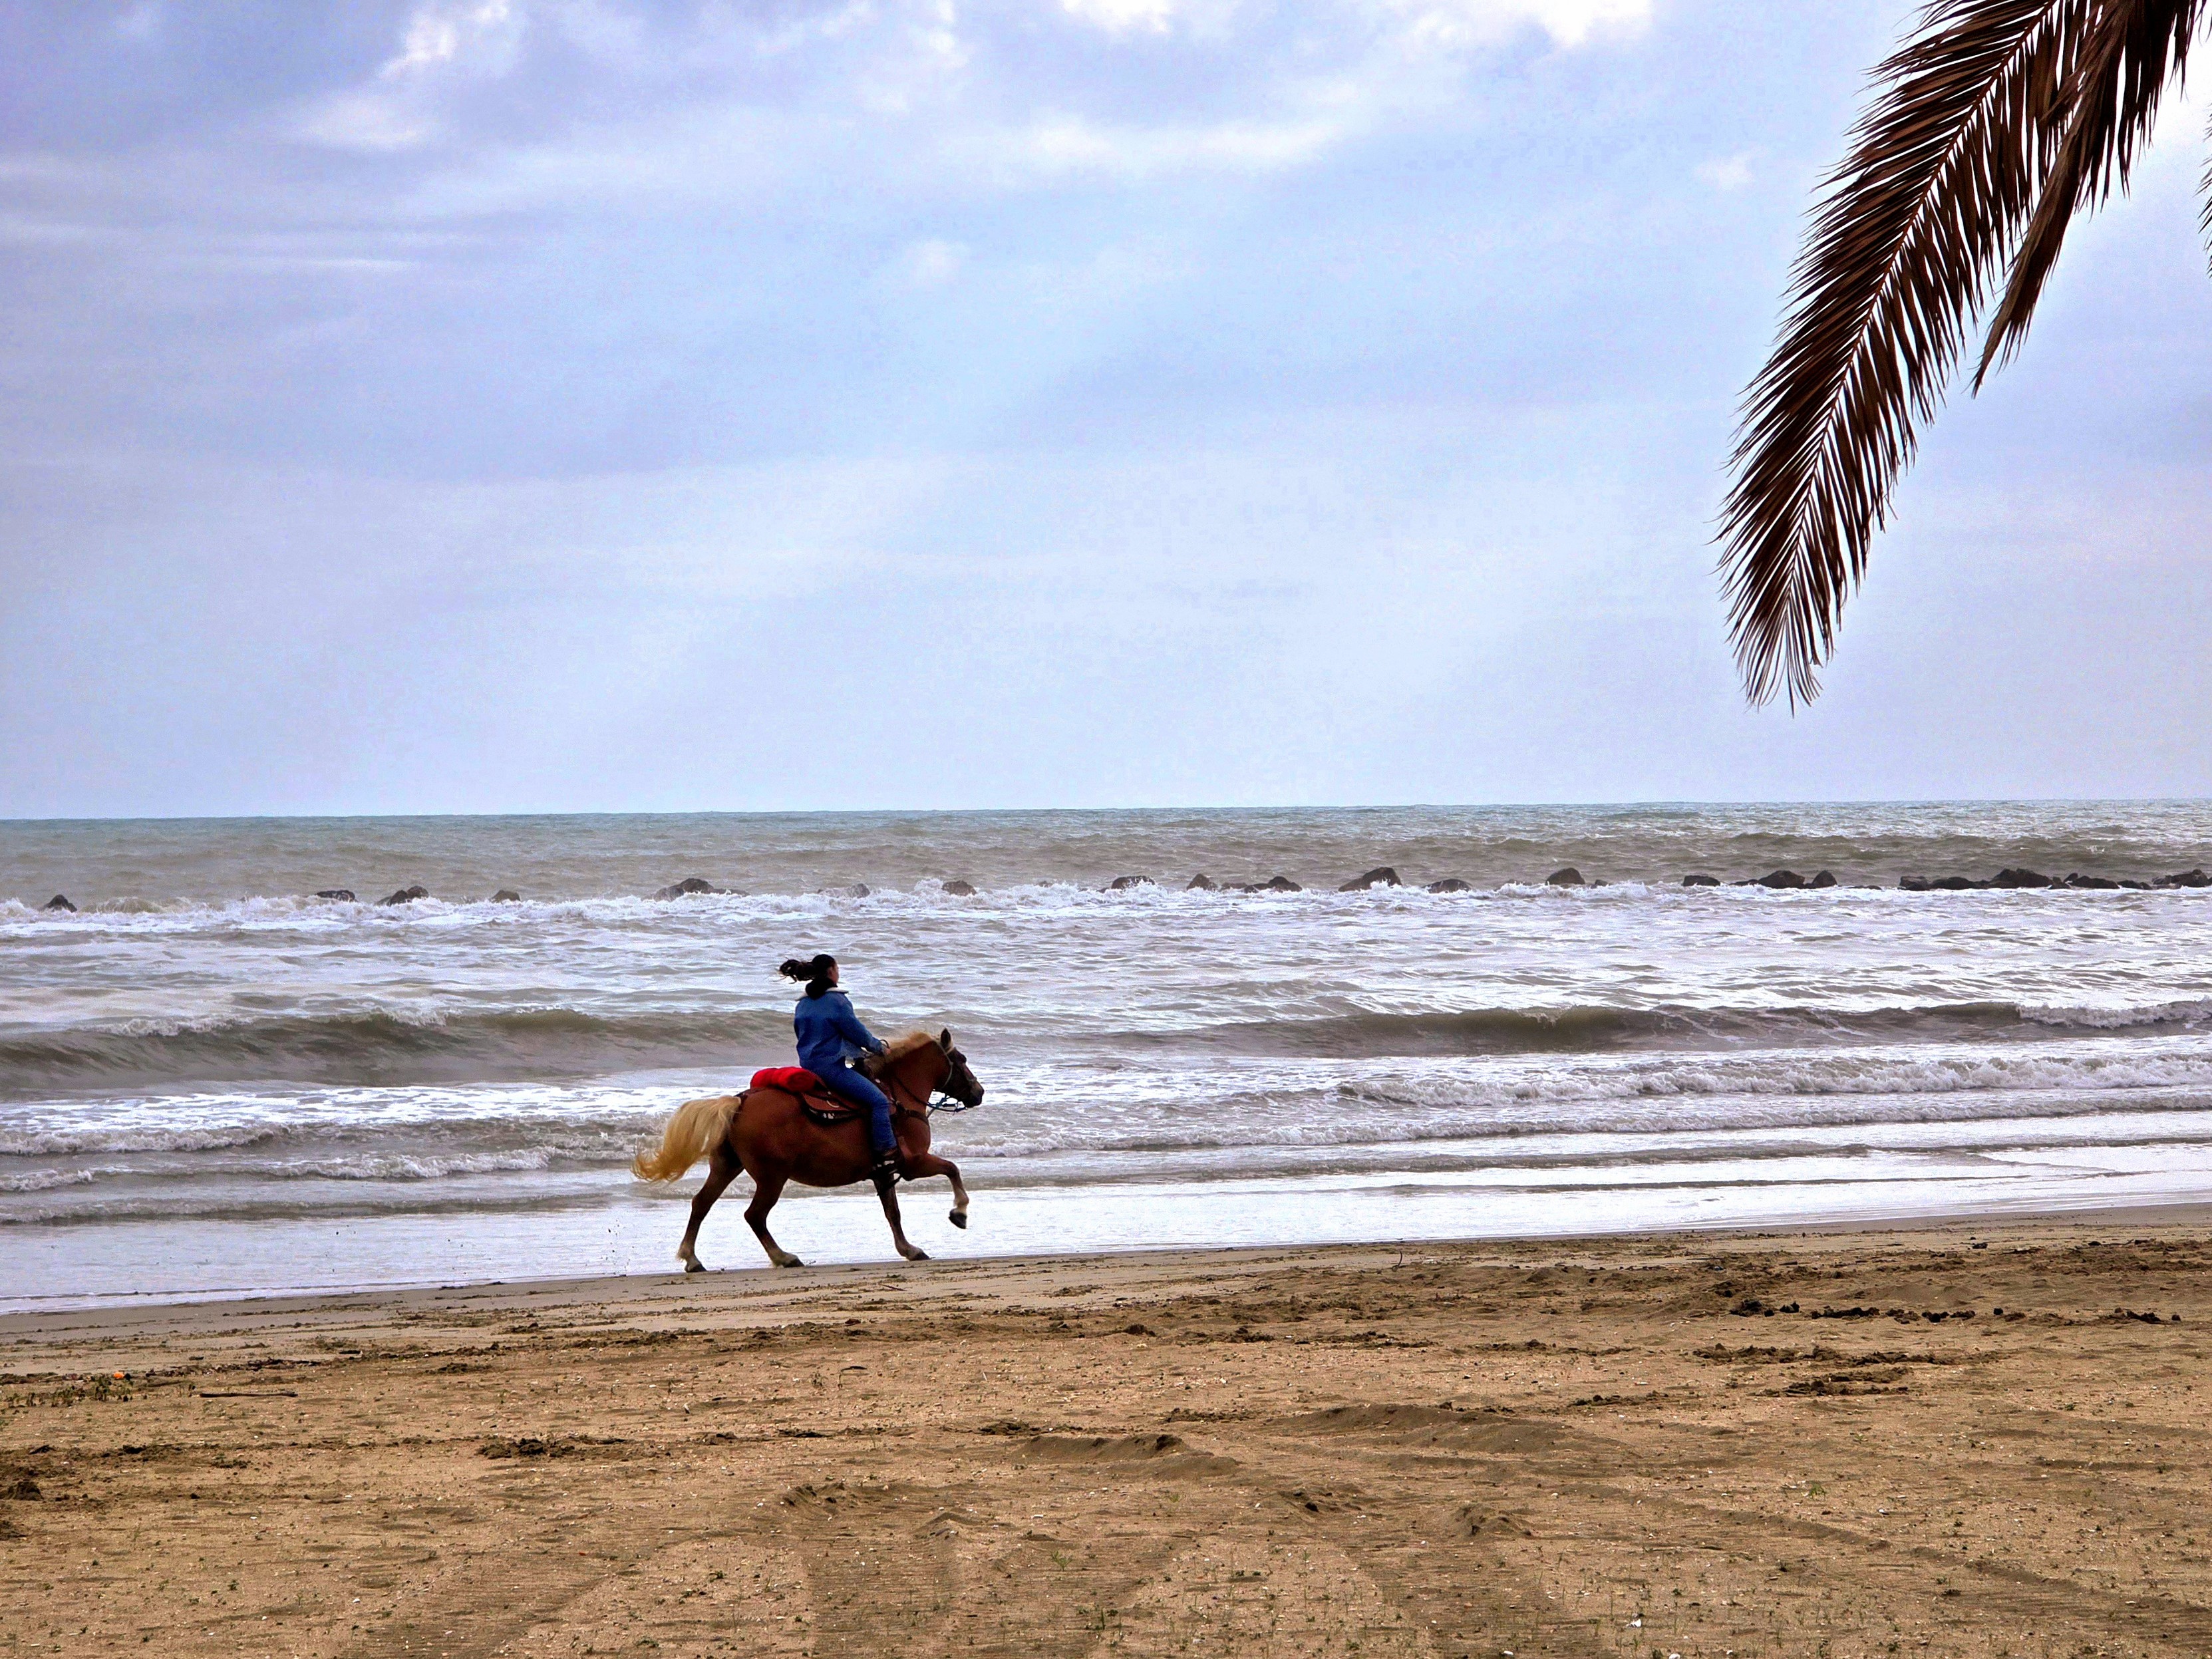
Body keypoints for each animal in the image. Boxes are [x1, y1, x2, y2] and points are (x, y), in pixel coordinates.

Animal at [637, 1026, 991, 1274]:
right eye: (961, 1061)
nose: (979, 1093)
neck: (897, 1097)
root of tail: (741, 1101)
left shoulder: (883, 1172)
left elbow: (893, 1213)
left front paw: (909, 1249)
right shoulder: (913, 1163)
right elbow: (952, 1169)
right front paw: (959, 1213)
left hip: (727, 1166)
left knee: (702, 1204)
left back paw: (693, 1259)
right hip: (771, 1177)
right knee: (755, 1215)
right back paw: (784, 1257)